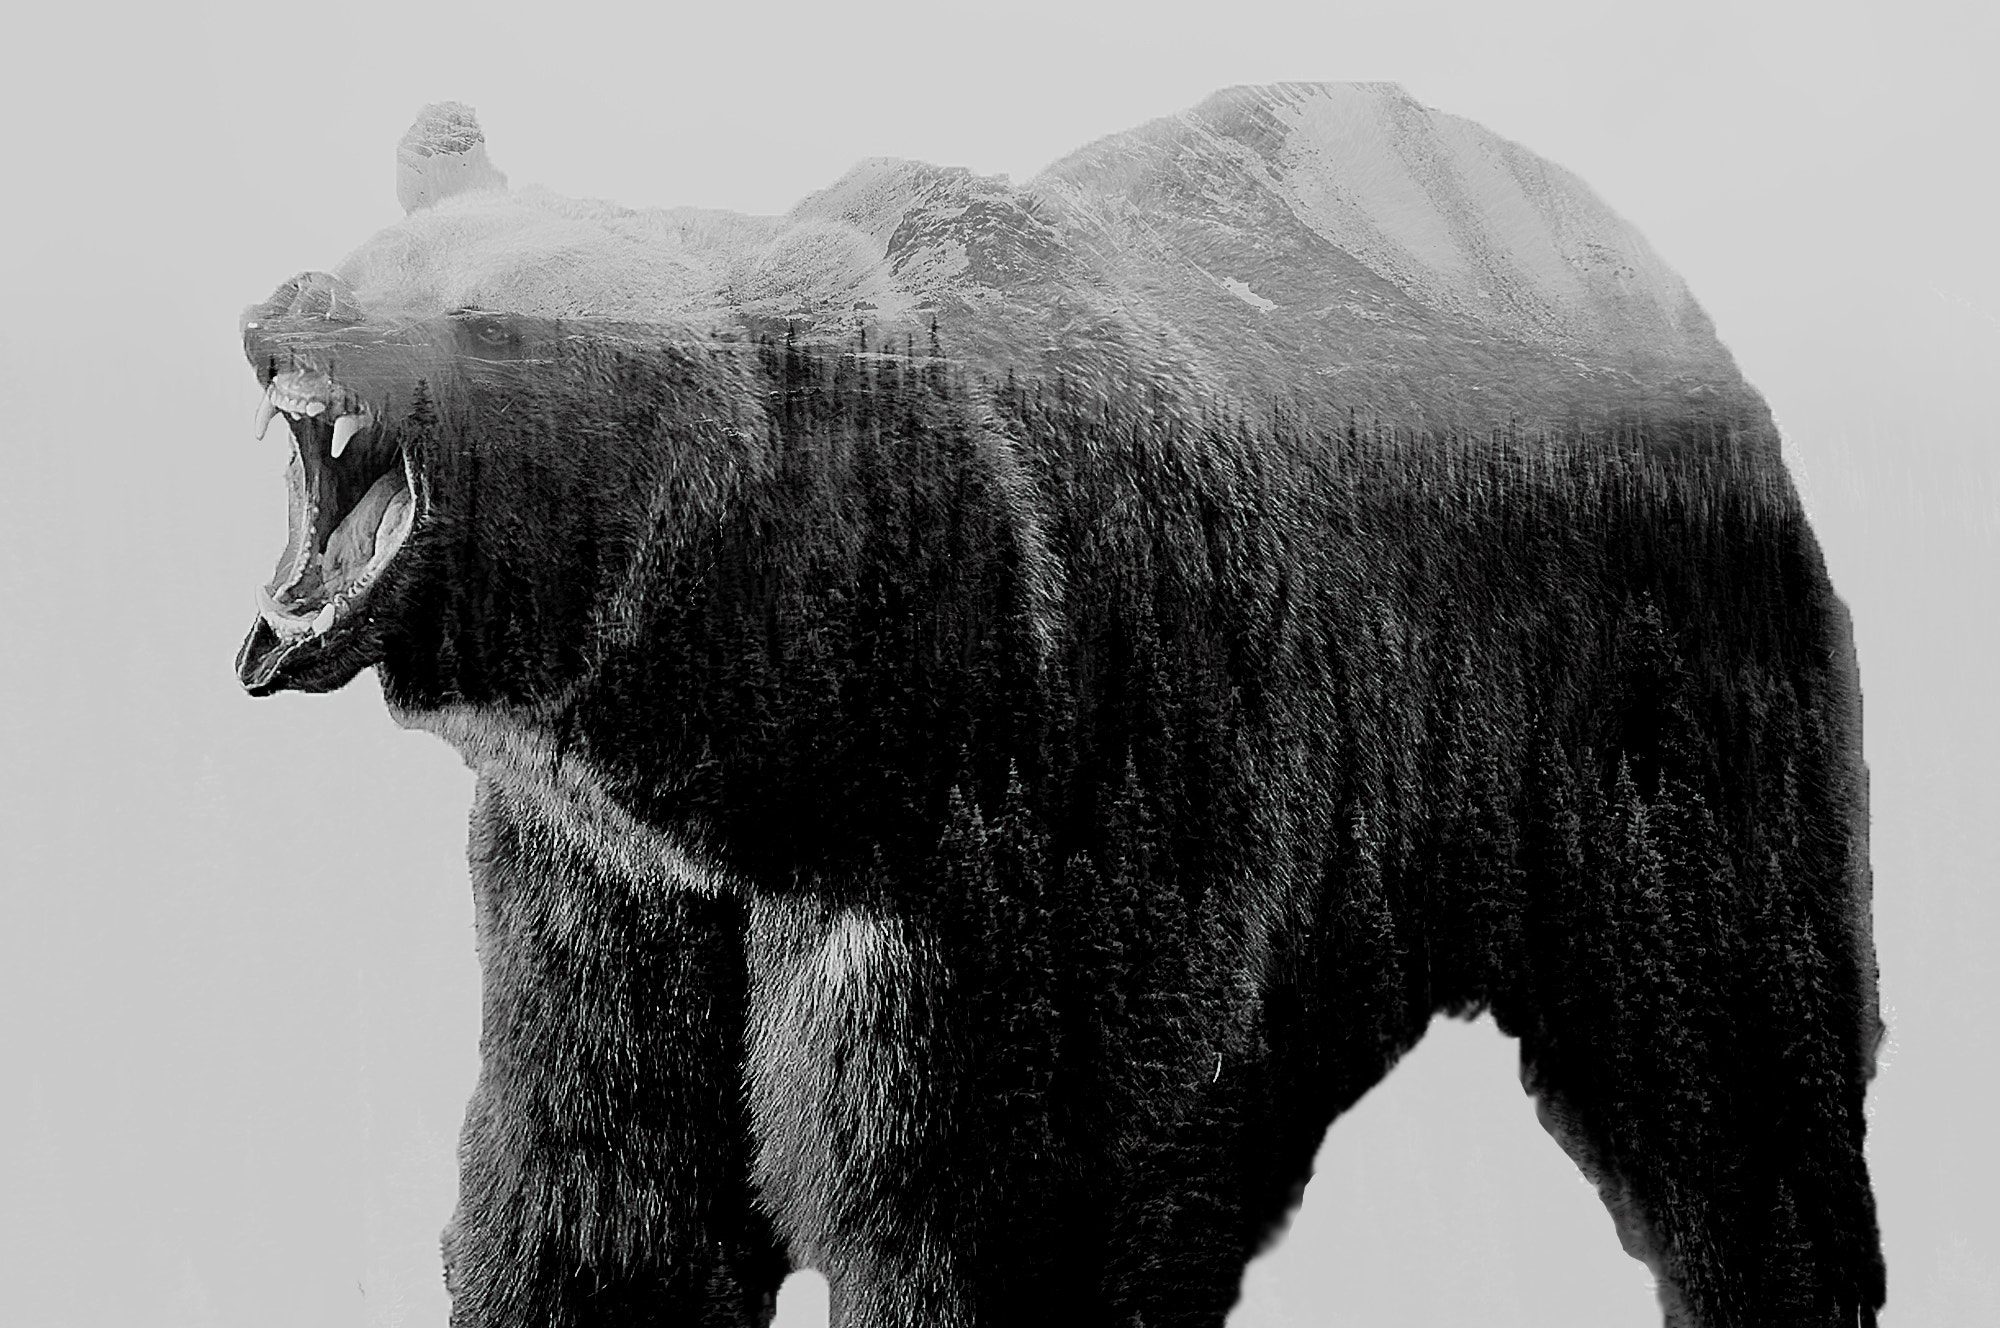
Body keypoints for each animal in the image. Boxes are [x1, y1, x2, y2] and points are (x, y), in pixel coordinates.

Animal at [236, 95, 1884, 1327]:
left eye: (490, 318)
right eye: (385, 245)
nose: (287, 312)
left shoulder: (1034, 823)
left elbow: (1001, 1211)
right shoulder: (609, 894)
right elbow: (603, 1191)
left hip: (1648, 705)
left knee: (1737, 1070)